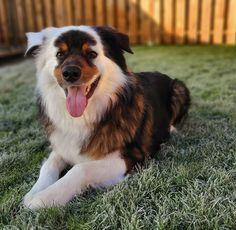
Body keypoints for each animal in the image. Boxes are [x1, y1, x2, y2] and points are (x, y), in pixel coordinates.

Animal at [23, 25, 190, 208]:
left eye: (92, 54)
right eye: (60, 54)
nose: (70, 73)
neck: (83, 116)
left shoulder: (131, 155)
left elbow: (81, 168)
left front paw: (45, 197)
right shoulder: (64, 145)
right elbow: (48, 165)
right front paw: (35, 191)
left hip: (179, 88)